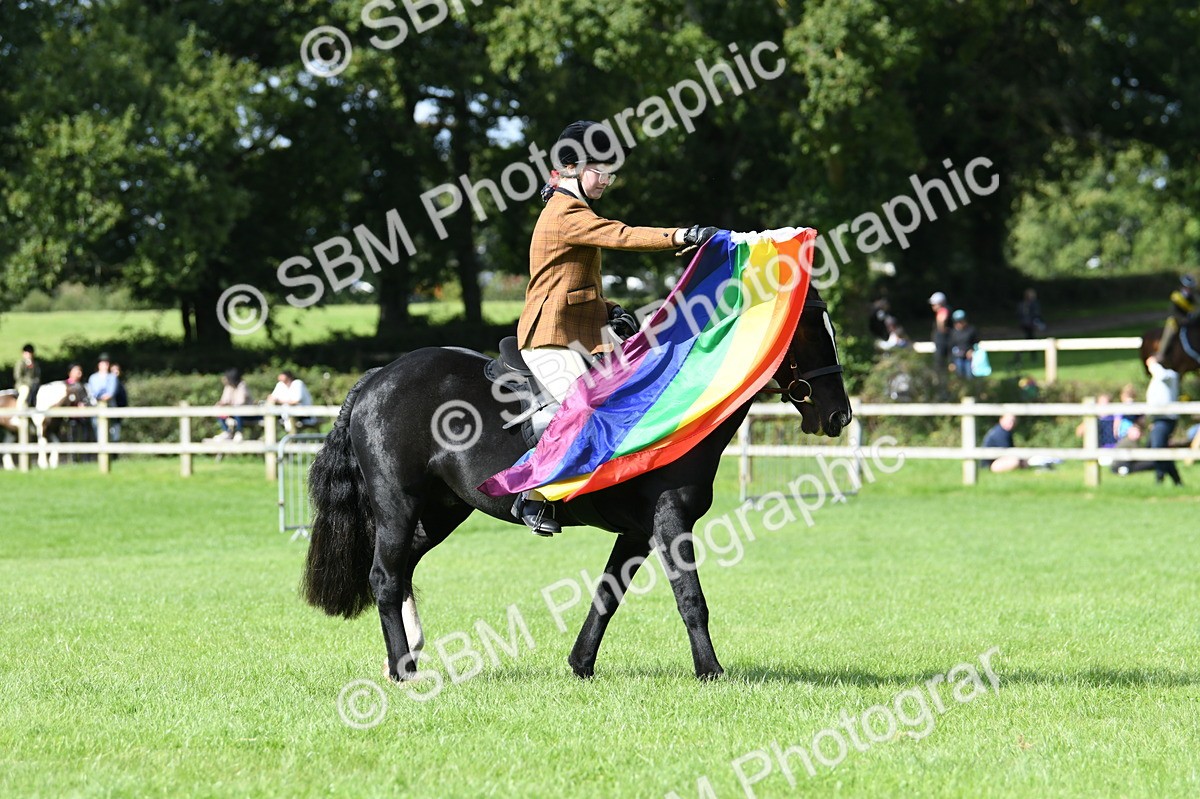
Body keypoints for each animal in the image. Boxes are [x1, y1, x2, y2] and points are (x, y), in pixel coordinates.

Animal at [302, 286, 852, 682]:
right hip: (398, 502)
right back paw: (402, 671)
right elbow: (691, 598)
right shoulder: (670, 521)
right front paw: (711, 671)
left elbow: (607, 596)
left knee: (403, 568)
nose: (838, 416)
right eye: (811, 332)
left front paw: (580, 665)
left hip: (442, 510)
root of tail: (379, 376)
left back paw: (409, 657)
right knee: (384, 576)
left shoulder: (637, 532)